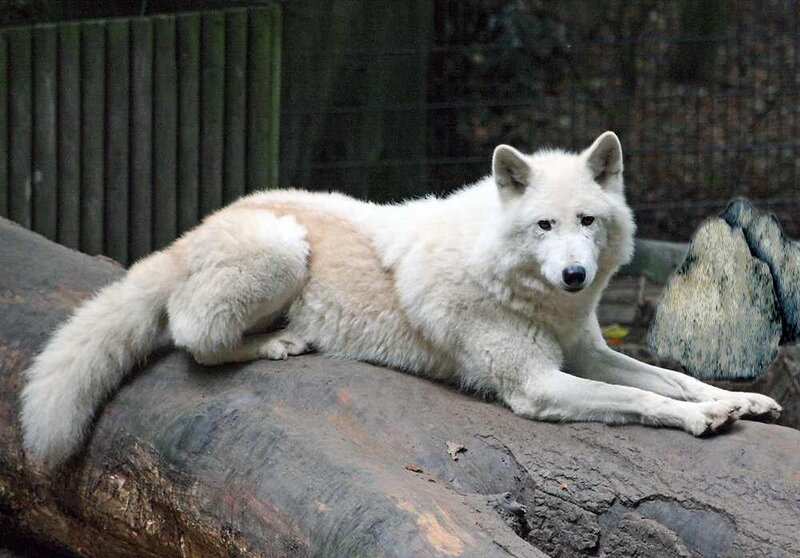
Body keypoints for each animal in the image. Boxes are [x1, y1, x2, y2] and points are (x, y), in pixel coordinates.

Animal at [21, 131, 781, 466]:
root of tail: (190, 232)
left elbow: (671, 377)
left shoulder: (587, 352)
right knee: (191, 336)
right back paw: (278, 341)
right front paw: (701, 420)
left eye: (587, 222)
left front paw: (739, 400)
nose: (573, 275)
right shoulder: (537, 385)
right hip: (281, 249)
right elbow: (642, 399)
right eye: (544, 226)